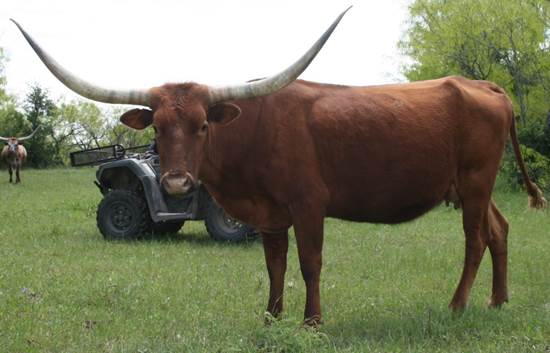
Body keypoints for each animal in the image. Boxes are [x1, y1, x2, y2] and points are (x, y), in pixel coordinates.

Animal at [12, 9, 548, 324]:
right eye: (158, 128)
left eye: (203, 125)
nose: (177, 181)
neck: (252, 135)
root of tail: (483, 84)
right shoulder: (268, 212)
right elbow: (274, 264)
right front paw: (271, 317)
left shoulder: (308, 204)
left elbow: (309, 262)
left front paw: (311, 322)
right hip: (474, 186)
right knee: (499, 231)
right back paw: (497, 301)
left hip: (475, 184)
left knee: (475, 240)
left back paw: (457, 306)